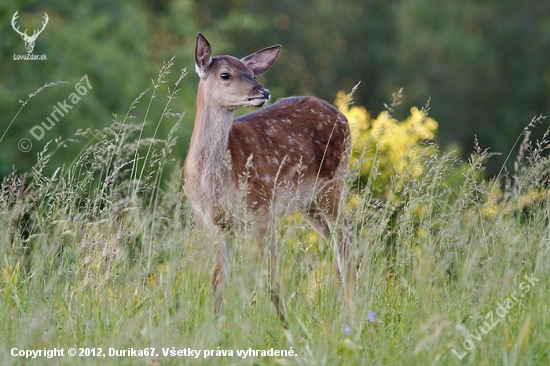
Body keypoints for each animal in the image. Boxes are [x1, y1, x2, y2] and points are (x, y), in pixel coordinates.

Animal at [185, 33, 356, 324]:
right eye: (225, 74)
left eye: (252, 72)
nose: (262, 92)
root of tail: (344, 116)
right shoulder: (215, 224)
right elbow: (217, 283)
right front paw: (215, 326)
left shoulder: (262, 209)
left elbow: (271, 280)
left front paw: (286, 326)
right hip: (308, 202)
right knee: (337, 240)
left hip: (333, 183)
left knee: (345, 239)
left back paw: (351, 309)